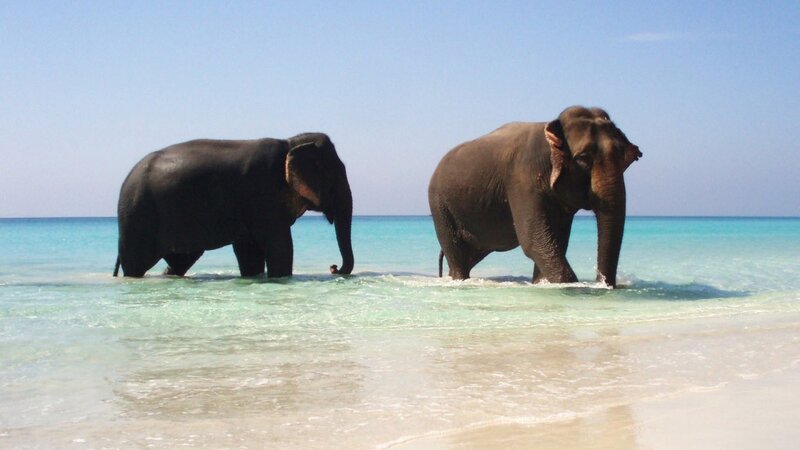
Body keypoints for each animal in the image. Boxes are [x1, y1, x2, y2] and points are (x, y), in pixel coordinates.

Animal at [113, 132, 353, 278]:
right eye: (335, 176)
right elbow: (279, 245)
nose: (333, 267)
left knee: (181, 261)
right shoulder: (261, 192)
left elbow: (249, 250)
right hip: (137, 217)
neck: (289, 143)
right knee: (136, 264)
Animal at [428, 106, 641, 287]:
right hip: (440, 207)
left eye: (625, 158)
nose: (603, 283)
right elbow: (534, 239)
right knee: (456, 255)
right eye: (583, 158)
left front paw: (541, 283)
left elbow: (556, 240)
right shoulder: (522, 179)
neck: (550, 130)